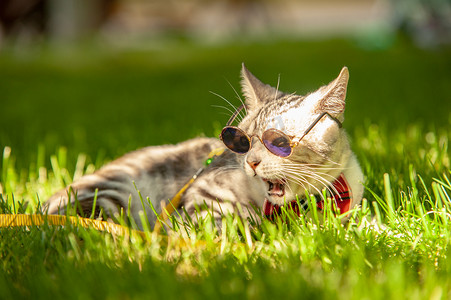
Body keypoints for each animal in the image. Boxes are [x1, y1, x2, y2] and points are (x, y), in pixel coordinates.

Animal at [45, 64, 364, 230]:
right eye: (242, 141)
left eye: (278, 143)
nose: (251, 163)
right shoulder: (205, 195)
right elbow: (234, 224)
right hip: (108, 197)